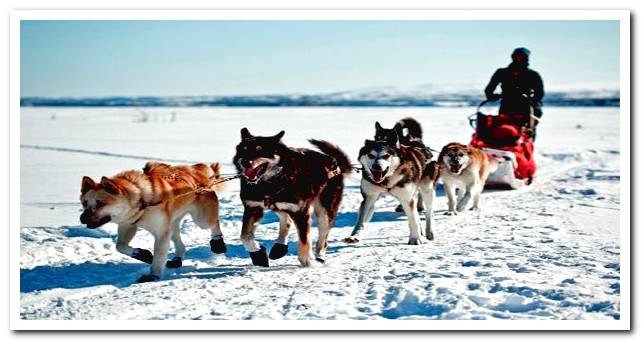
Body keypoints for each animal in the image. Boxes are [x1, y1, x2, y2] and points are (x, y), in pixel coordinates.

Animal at [79, 161, 226, 282]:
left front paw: (153, 276)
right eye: (85, 203)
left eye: (100, 203)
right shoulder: (128, 225)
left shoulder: (161, 233)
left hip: (201, 220)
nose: (82, 218)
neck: (142, 199)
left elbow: (159, 256)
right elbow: (119, 246)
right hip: (172, 224)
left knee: (214, 222)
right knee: (179, 243)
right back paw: (177, 259)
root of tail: (197, 172)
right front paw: (142, 254)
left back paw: (218, 242)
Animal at [231, 127, 350, 266]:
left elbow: (304, 240)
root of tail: (335, 163)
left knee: (323, 238)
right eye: (243, 150)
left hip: (324, 212)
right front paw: (258, 253)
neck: (270, 182)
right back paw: (280, 247)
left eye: (260, 150)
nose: (245, 162)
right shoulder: (253, 208)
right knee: (286, 220)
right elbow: (245, 236)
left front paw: (307, 261)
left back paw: (319, 257)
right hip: (278, 206)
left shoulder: (301, 212)